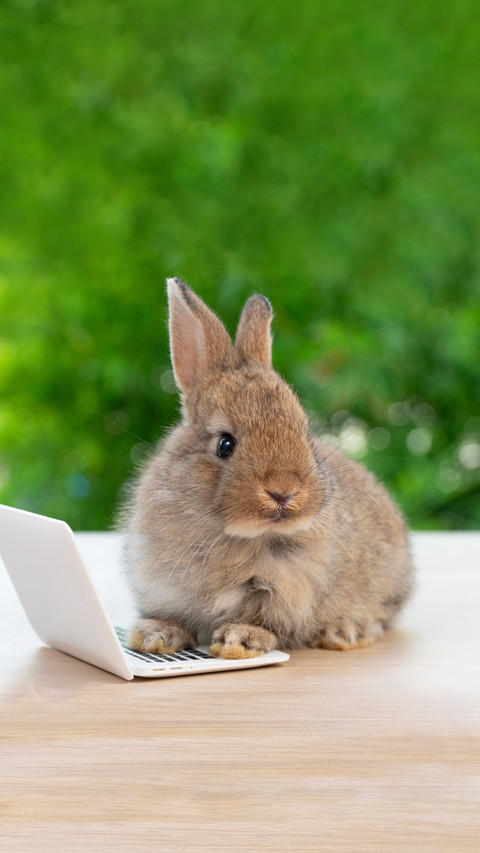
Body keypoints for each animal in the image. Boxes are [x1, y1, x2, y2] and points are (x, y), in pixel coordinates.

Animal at [122, 278, 414, 660]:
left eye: (305, 434)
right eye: (225, 444)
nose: (284, 492)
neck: (238, 534)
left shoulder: (283, 589)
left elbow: (263, 618)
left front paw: (238, 640)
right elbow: (173, 616)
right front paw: (154, 636)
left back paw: (346, 632)